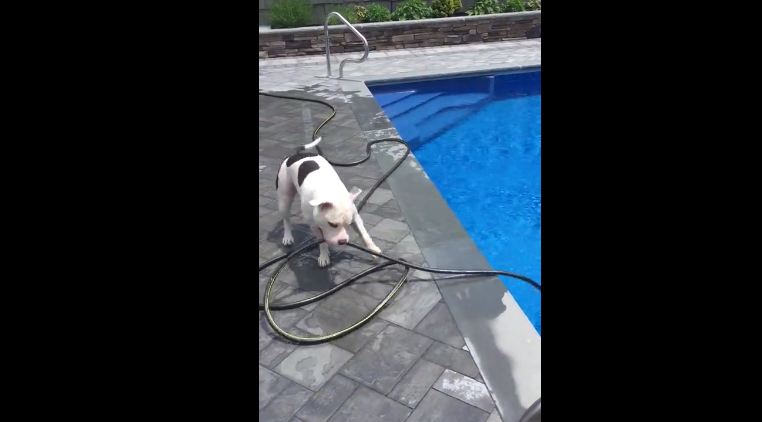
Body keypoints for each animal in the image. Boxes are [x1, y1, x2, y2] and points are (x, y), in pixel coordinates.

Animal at [274, 138, 380, 268]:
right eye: (332, 224)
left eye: (349, 224)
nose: (343, 241)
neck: (329, 191)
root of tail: (296, 155)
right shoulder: (314, 226)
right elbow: (322, 240)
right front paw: (324, 256)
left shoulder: (356, 218)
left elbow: (364, 234)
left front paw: (373, 250)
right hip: (284, 198)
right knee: (286, 220)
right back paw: (288, 236)